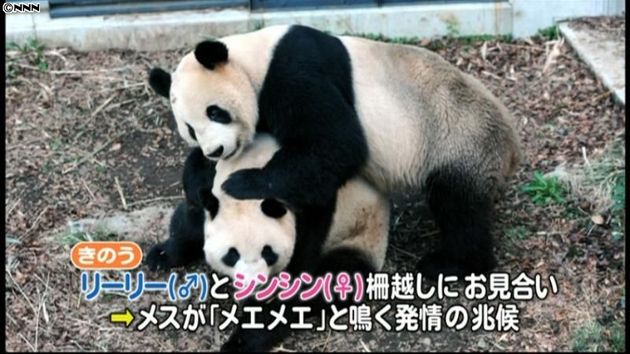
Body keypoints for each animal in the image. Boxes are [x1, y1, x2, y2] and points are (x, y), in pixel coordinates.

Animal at [148, 24, 524, 280]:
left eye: (215, 112)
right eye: (190, 129)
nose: (216, 150)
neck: (253, 59)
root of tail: (512, 145)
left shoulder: (293, 71)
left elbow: (337, 142)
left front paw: (242, 182)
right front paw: (198, 180)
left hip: (460, 140)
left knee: (458, 206)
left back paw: (452, 263)